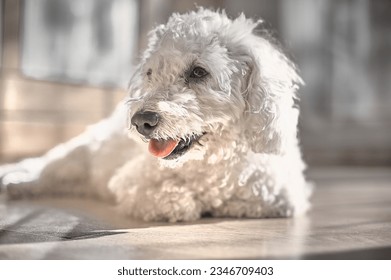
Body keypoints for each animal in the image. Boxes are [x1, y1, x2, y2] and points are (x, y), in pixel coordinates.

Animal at [0, 8, 312, 222]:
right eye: (150, 73)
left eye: (198, 72)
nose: (141, 121)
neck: (210, 165)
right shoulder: (130, 182)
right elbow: (174, 201)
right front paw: (191, 202)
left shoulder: (282, 195)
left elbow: (253, 199)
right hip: (78, 156)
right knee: (41, 167)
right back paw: (16, 182)